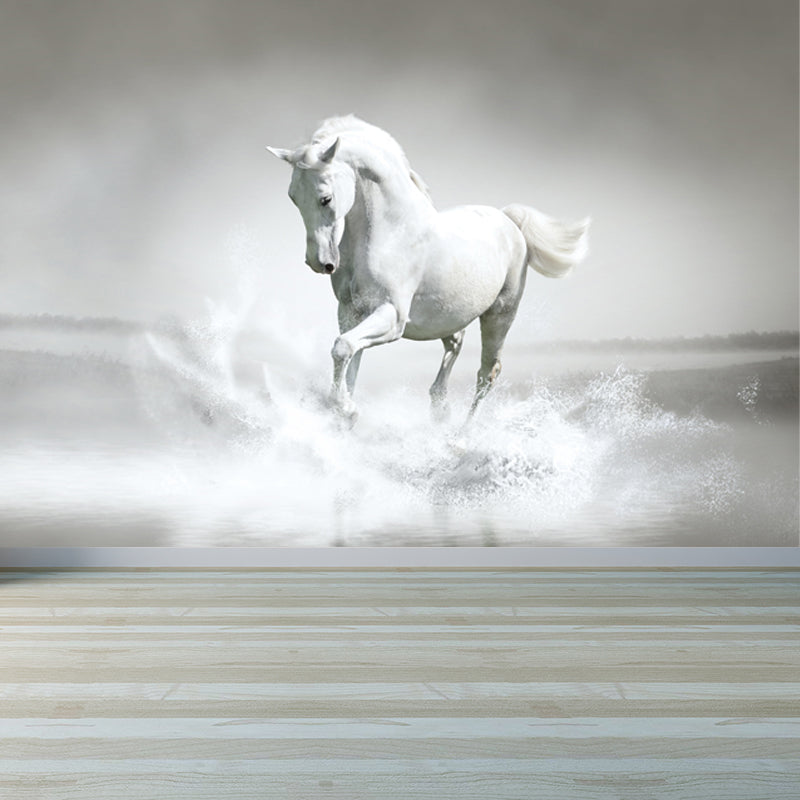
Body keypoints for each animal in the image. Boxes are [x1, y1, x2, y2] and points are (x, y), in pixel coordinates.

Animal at [268, 115, 589, 422]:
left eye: (326, 198)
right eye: (293, 197)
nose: (319, 262)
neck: (390, 233)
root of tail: (509, 220)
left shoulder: (392, 316)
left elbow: (343, 348)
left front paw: (346, 410)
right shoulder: (351, 312)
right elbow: (349, 359)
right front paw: (344, 412)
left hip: (500, 314)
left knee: (487, 373)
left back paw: (462, 433)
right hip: (448, 315)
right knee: (456, 344)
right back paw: (439, 409)